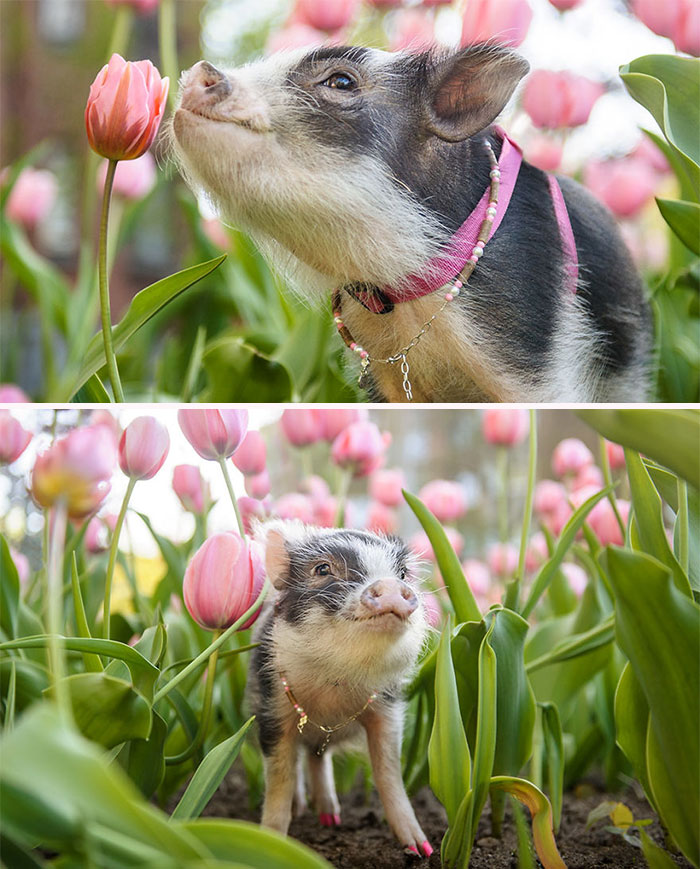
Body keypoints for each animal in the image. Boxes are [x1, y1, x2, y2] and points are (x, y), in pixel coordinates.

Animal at [249, 520, 432, 857]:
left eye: (401, 574)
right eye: (322, 569)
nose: (390, 585)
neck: (335, 682)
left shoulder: (387, 709)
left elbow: (388, 773)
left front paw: (420, 850)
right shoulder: (272, 710)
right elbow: (279, 779)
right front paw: (270, 842)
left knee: (317, 758)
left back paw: (331, 819)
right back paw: (305, 811)